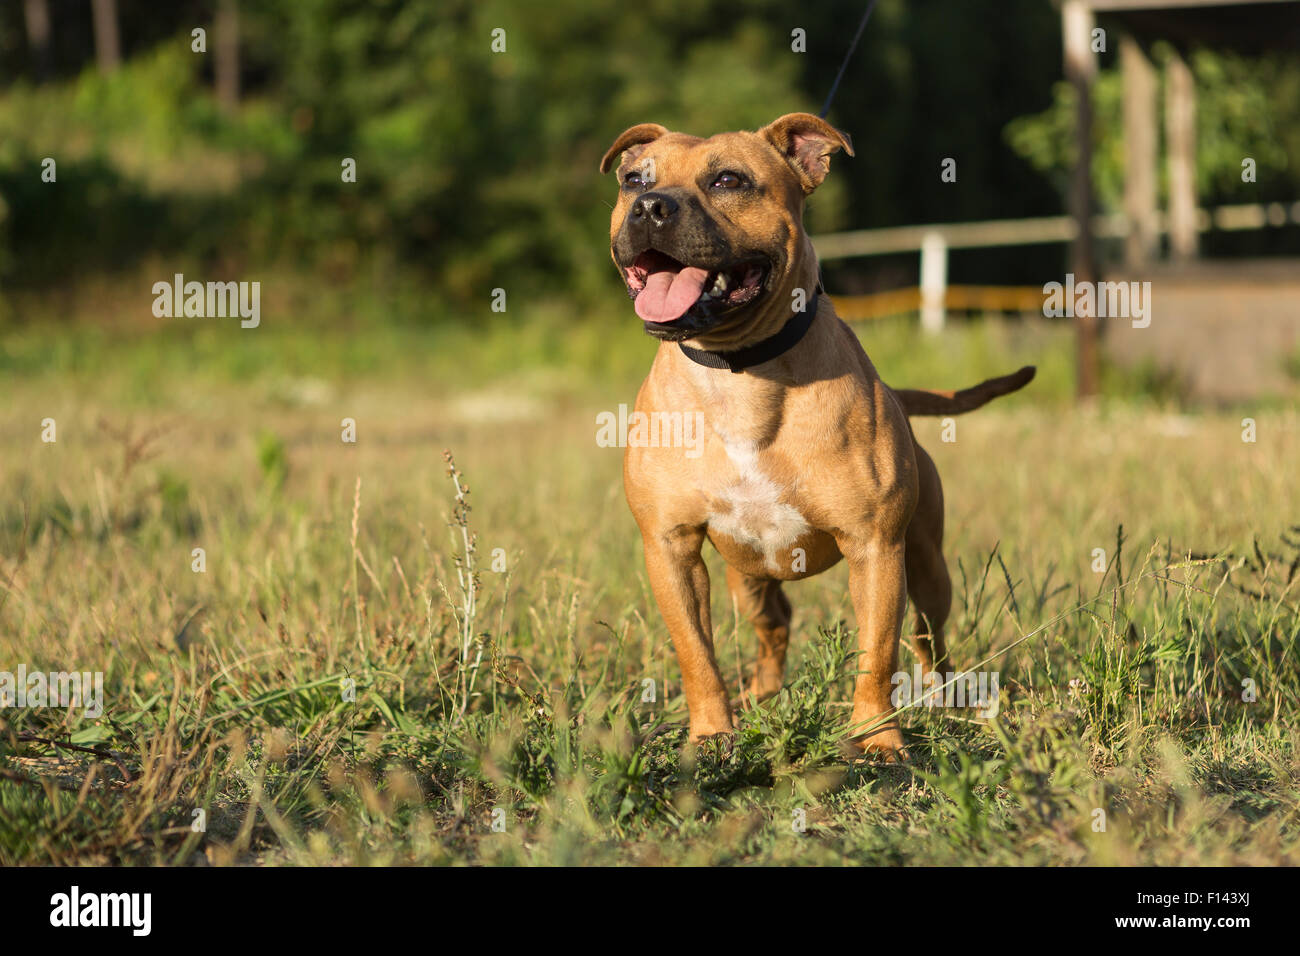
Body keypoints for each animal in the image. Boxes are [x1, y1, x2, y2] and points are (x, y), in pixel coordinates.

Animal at [600, 113, 1034, 754]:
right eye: (634, 180)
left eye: (729, 180)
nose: (650, 207)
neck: (741, 371)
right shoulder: (671, 547)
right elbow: (696, 655)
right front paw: (711, 735)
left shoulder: (876, 547)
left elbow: (876, 654)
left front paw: (877, 740)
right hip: (746, 576)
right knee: (774, 623)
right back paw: (760, 696)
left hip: (927, 565)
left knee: (929, 638)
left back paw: (945, 701)